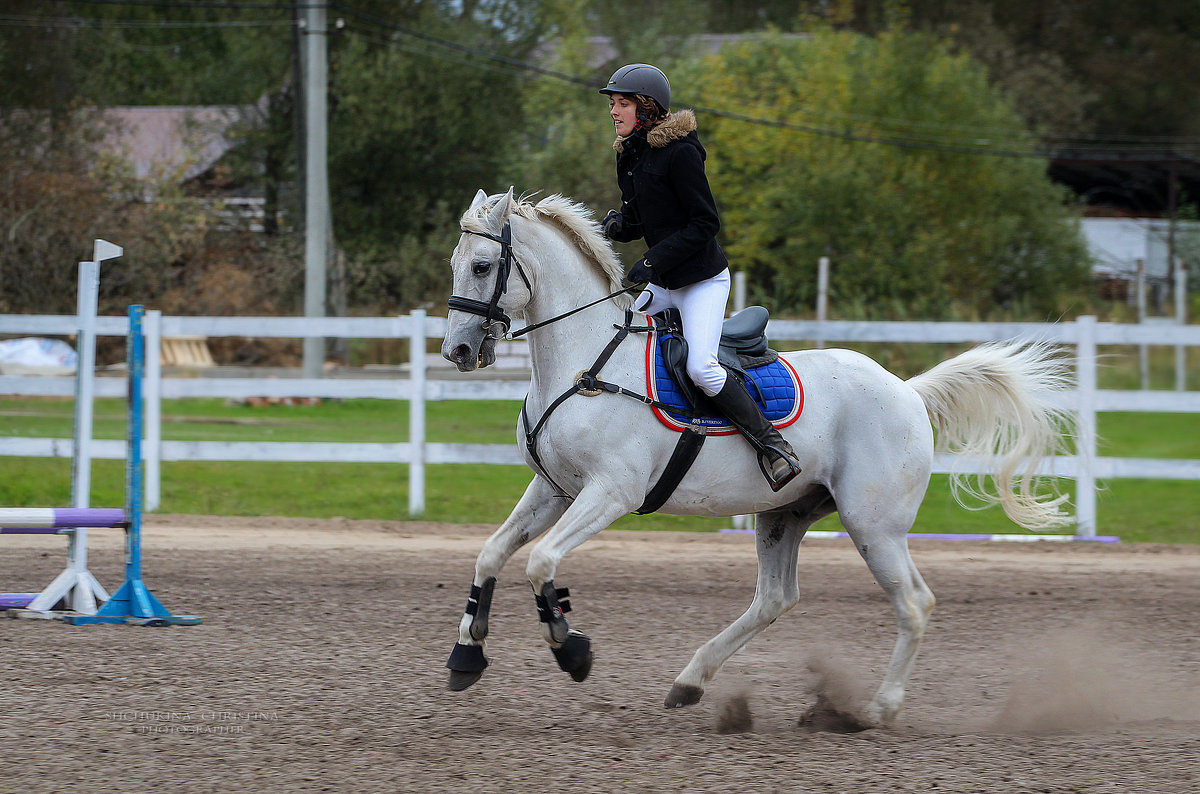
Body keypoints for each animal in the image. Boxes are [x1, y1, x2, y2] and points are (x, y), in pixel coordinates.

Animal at [436, 189, 1075, 729]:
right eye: (455, 263)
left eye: (483, 266)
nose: (458, 351)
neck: (584, 363)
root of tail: (908, 391)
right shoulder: (555, 491)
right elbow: (491, 553)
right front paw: (467, 655)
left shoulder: (609, 493)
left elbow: (541, 562)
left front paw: (571, 651)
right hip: (784, 515)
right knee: (774, 599)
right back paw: (690, 682)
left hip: (874, 526)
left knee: (914, 604)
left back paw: (878, 709)